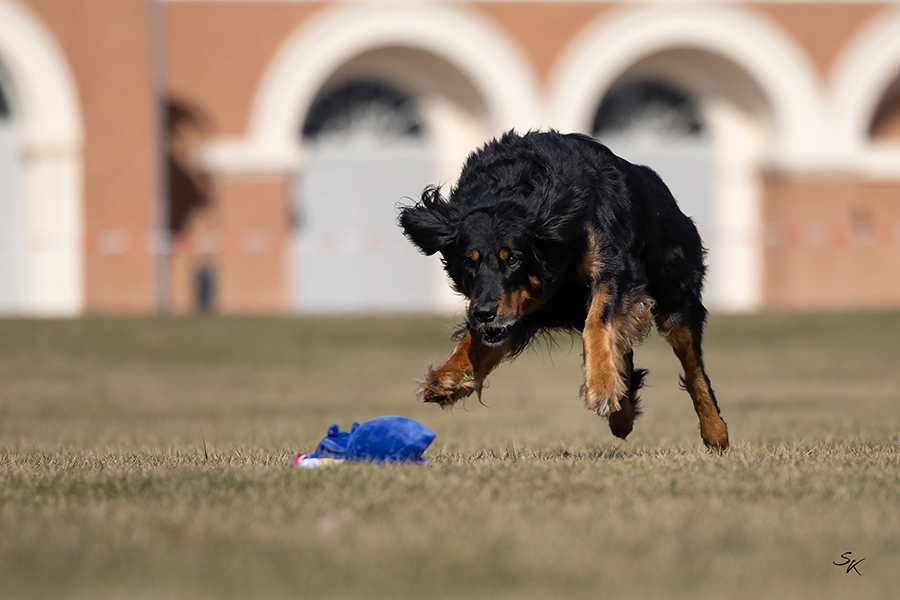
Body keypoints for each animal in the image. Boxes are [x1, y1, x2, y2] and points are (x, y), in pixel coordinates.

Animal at [398, 130, 728, 451]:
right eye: (469, 261)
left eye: (513, 259)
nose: (483, 313)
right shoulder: (516, 309)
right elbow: (475, 340)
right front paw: (448, 377)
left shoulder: (614, 269)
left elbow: (597, 324)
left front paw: (602, 385)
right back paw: (622, 414)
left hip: (675, 299)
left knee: (694, 368)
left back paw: (715, 431)